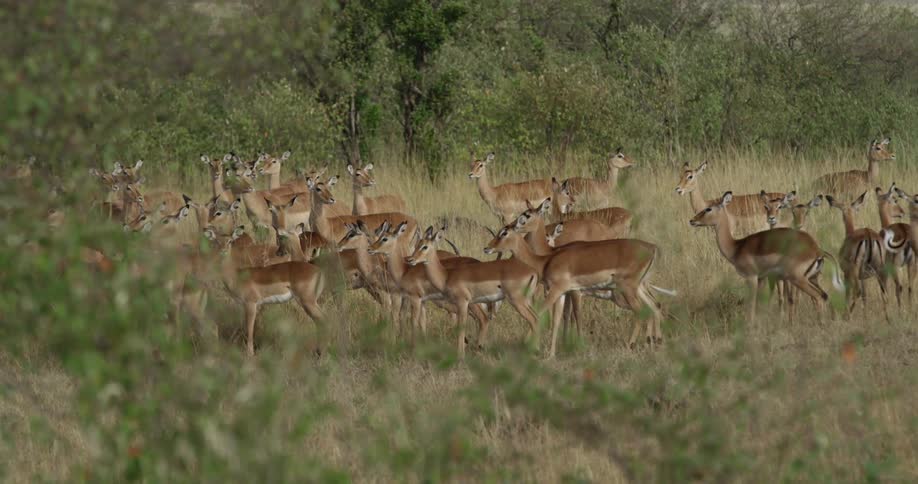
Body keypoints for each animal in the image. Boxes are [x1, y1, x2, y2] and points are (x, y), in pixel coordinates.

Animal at [206, 226, 326, 356]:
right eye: (216, 241)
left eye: (230, 241)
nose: (223, 251)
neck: (236, 276)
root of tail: (318, 271)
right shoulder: (244, 305)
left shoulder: (251, 304)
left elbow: (250, 330)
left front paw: (250, 354)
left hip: (307, 301)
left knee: (322, 319)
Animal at [406, 227, 540, 357]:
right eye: (417, 244)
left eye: (425, 246)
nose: (411, 259)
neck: (447, 276)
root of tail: (532, 271)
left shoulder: (463, 303)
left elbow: (461, 328)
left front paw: (460, 357)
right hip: (527, 301)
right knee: (537, 318)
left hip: (516, 301)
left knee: (533, 320)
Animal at [486, 219, 668, 357]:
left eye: (504, 233)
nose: (487, 248)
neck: (545, 261)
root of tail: (652, 248)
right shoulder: (562, 294)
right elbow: (557, 320)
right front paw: (551, 354)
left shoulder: (562, 291)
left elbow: (543, 314)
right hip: (638, 288)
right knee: (654, 307)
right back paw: (653, 343)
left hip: (627, 290)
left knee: (642, 311)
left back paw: (631, 346)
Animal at [690, 192, 843, 321]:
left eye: (708, 209)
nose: (692, 220)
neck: (737, 246)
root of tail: (817, 250)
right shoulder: (762, 278)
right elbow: (758, 304)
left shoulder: (751, 277)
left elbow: (751, 305)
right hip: (812, 278)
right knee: (824, 295)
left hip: (798, 279)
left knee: (817, 297)